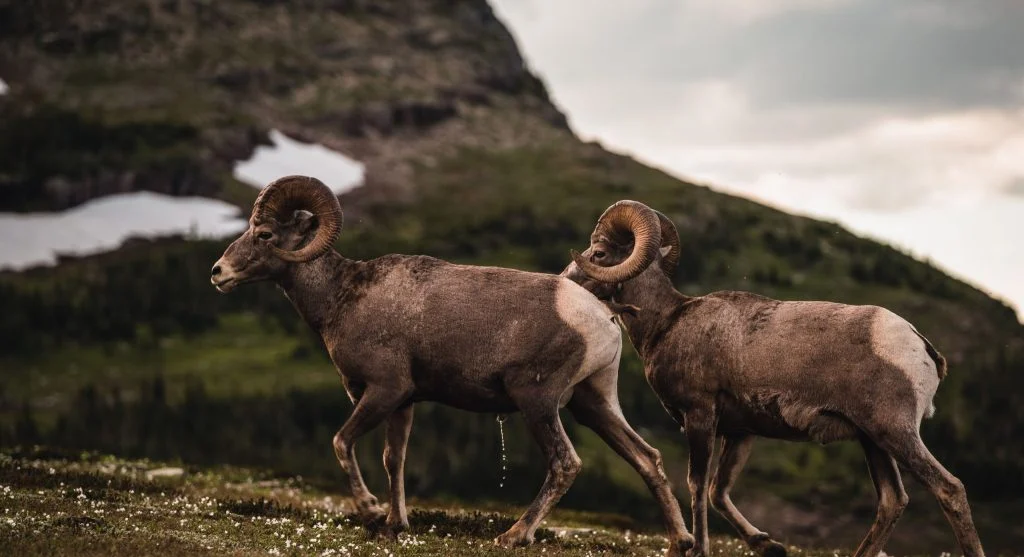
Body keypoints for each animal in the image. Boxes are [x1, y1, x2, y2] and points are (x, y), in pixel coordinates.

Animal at [209, 177, 694, 555]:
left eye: (265, 234)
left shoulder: (382, 390)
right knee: (647, 458)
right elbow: (394, 459)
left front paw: (371, 513)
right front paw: (395, 525)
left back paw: (513, 536)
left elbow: (342, 441)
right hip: (593, 404)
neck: (342, 297)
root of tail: (602, 317)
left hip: (538, 402)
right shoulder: (403, 403)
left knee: (565, 463)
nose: (218, 272)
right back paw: (680, 541)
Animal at [560, 200, 986, 557]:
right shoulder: (741, 432)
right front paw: (767, 544)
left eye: (598, 255)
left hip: (895, 432)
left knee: (948, 488)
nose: (563, 281)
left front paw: (699, 549)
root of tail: (920, 346)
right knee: (892, 502)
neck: (667, 321)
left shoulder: (700, 417)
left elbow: (697, 486)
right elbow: (717, 491)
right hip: (874, 441)